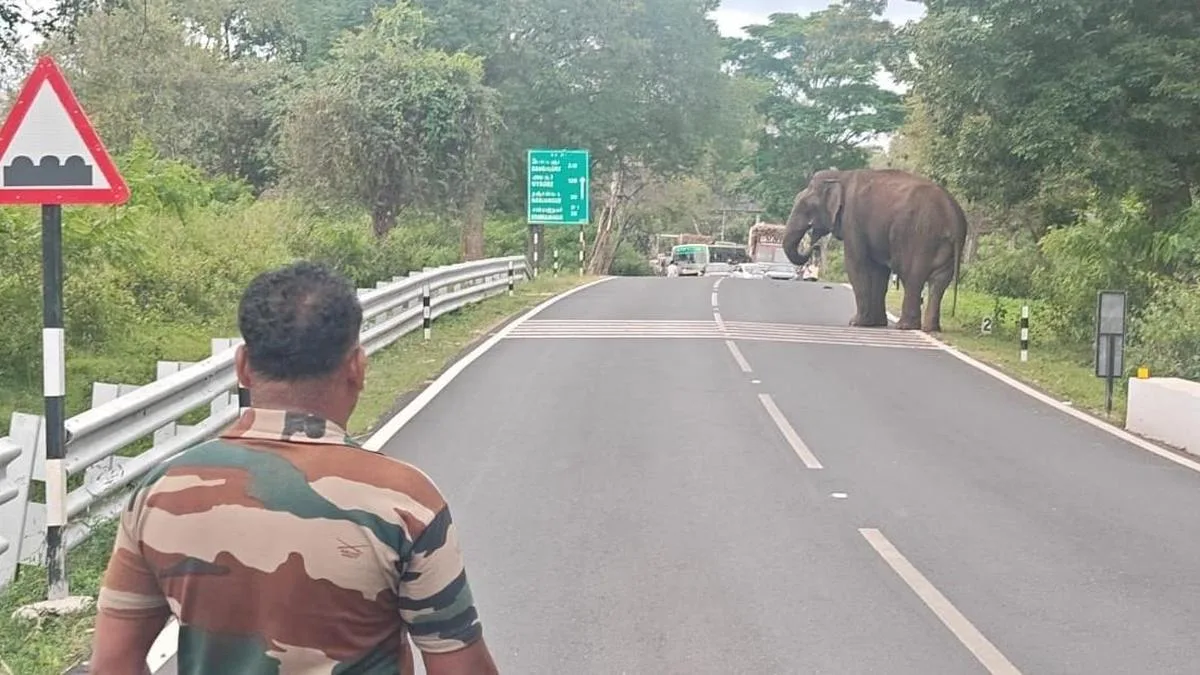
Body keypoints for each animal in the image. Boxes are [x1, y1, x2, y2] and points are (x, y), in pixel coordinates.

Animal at [783, 169, 968, 332]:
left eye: (806, 205)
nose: (813, 246)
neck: (842, 175)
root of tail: (953, 217)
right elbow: (879, 272)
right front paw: (876, 324)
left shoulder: (853, 220)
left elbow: (856, 265)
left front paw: (856, 323)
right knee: (939, 282)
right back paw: (931, 329)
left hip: (919, 237)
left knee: (912, 277)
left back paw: (905, 327)